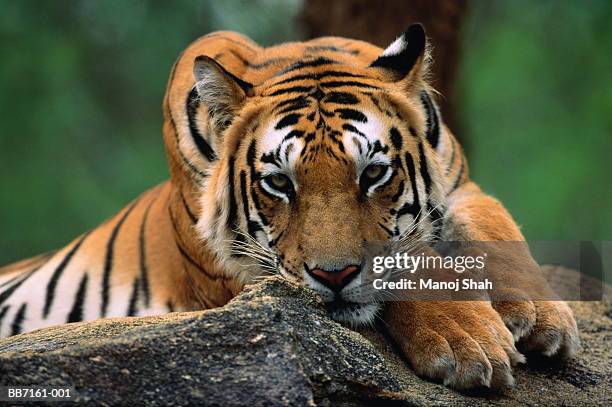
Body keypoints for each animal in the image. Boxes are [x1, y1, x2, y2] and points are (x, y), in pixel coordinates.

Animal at [0, 23, 580, 390]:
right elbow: (407, 267)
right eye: (279, 183)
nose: (335, 275)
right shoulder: (236, 274)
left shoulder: (461, 186)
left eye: (373, 174)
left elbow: (493, 225)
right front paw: (471, 343)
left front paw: (539, 314)